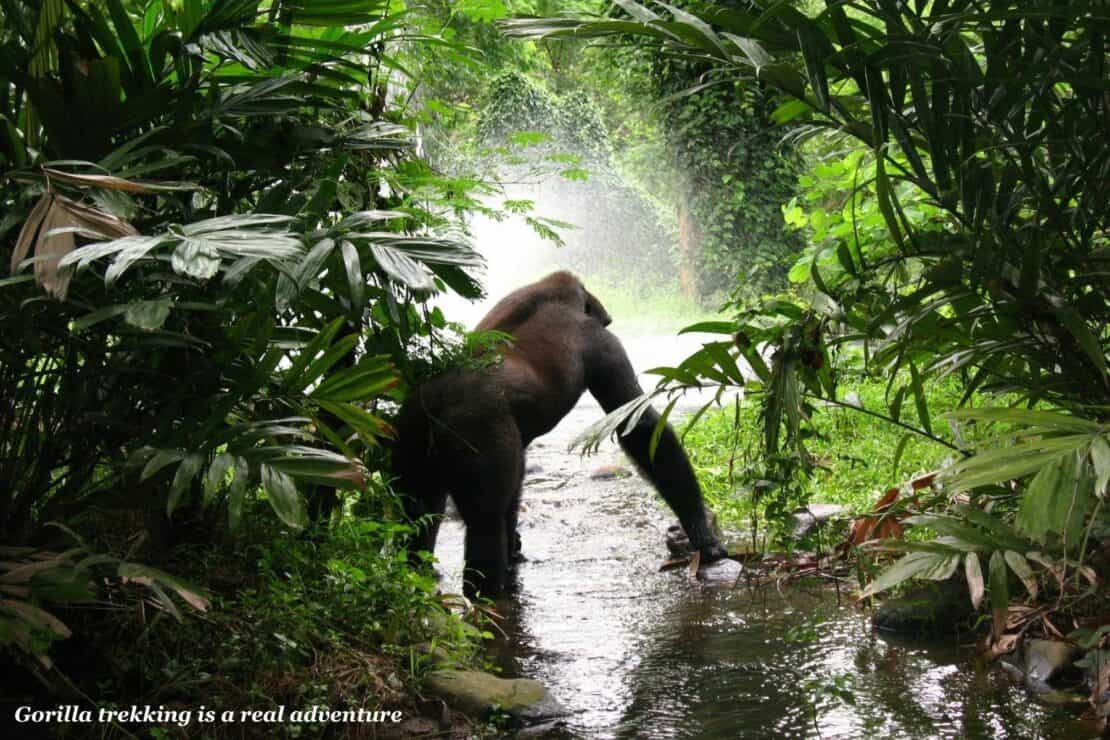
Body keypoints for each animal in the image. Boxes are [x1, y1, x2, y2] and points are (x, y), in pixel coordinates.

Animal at [392, 269, 728, 599]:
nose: (608, 317)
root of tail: (434, 402)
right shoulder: (602, 343)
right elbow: (641, 427)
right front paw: (702, 534)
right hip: (474, 429)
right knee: (485, 524)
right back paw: (487, 594)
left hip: (409, 430)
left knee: (418, 512)